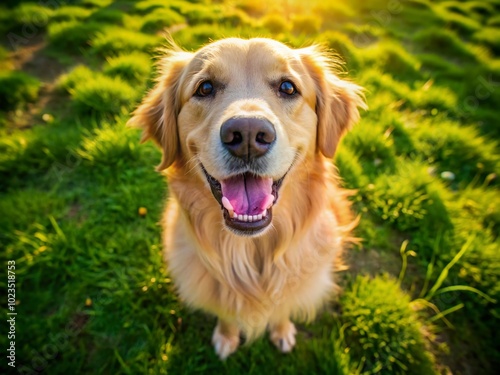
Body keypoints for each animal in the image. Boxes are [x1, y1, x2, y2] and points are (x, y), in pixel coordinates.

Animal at [128, 36, 364, 360]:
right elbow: (227, 312)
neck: (250, 252)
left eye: (288, 87)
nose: (249, 135)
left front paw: (282, 331)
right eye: (205, 88)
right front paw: (226, 337)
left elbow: (282, 306)